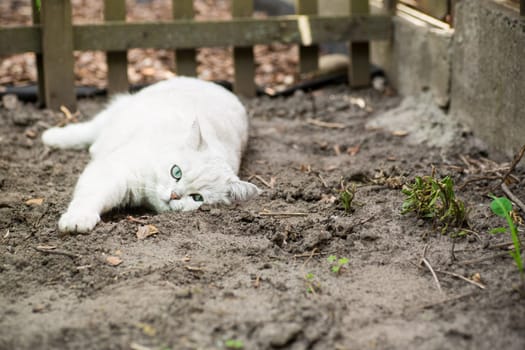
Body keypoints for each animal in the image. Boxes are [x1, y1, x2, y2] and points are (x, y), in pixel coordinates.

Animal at [41, 78, 260, 234]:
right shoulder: (113, 170)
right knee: (88, 131)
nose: (174, 195)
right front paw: (78, 219)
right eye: (176, 172)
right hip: (117, 110)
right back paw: (51, 137)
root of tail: (214, 84)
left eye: (197, 198)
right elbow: (91, 195)